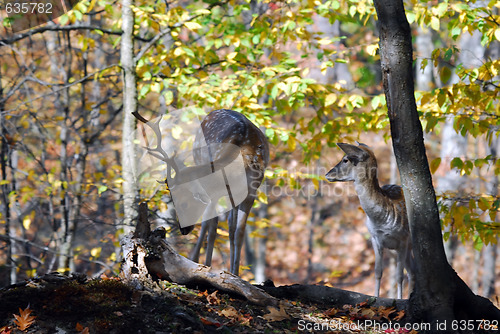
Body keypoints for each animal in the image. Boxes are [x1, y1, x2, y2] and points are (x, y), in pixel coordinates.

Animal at [134, 108, 270, 276]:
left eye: (183, 204)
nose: (183, 229)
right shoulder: (216, 194)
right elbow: (211, 228)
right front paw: (205, 265)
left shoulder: (251, 193)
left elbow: (238, 233)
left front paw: (236, 273)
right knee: (210, 223)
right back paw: (197, 260)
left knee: (229, 225)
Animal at [324, 142, 414, 298]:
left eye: (345, 159)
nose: (327, 174)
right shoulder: (375, 238)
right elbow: (378, 272)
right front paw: (375, 297)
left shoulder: (403, 239)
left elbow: (399, 276)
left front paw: (399, 300)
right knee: (413, 271)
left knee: (411, 273)